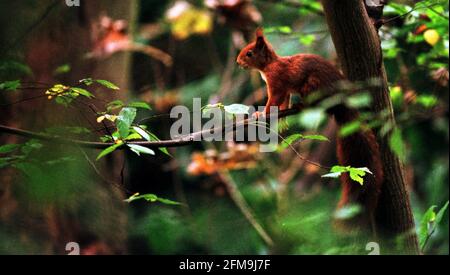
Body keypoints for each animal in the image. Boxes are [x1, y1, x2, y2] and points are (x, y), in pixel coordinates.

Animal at [236, 29, 384, 234]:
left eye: (249, 53)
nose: (238, 62)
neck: (269, 65)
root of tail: (342, 102)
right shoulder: (284, 89)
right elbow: (284, 101)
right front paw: (281, 118)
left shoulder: (277, 82)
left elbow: (274, 100)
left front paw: (262, 113)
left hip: (312, 85)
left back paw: (304, 105)